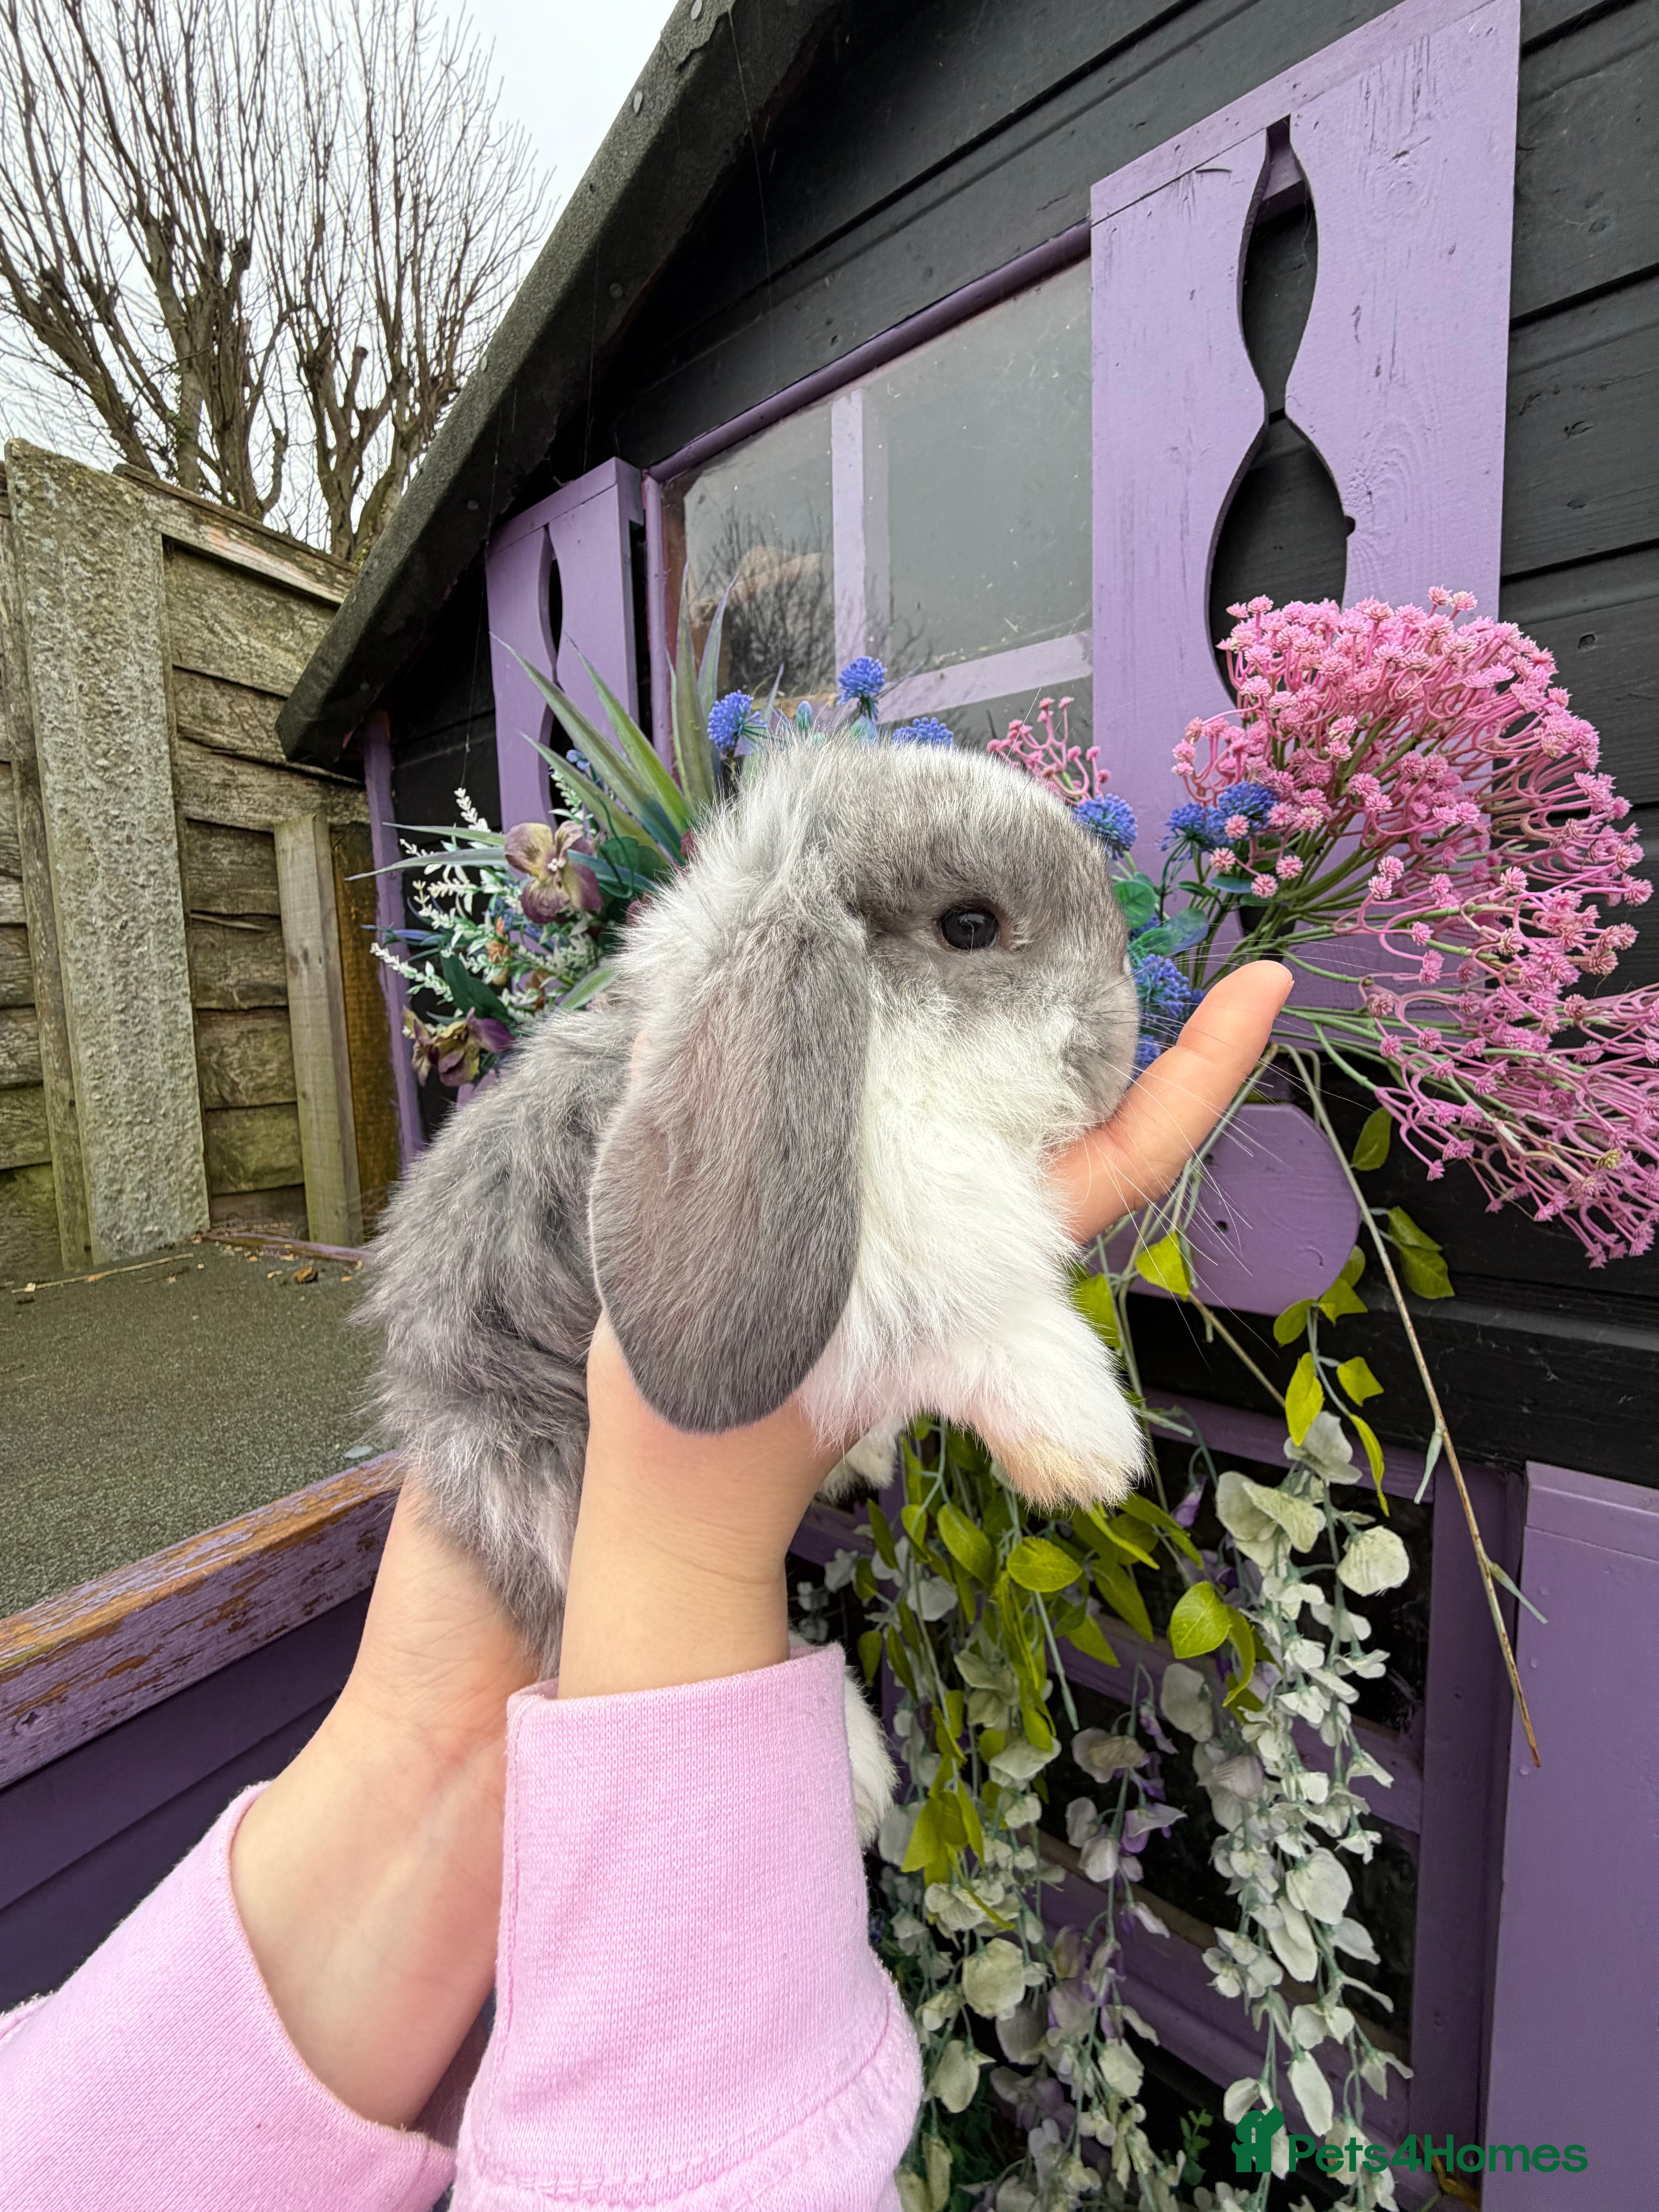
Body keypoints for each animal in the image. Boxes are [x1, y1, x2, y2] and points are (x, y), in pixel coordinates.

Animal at [363, 731, 1146, 1845]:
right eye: (970, 926)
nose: (1113, 1055)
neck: (886, 1060)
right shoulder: (887, 1269)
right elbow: (976, 1326)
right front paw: (1090, 1446)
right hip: (530, 1461)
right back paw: (852, 1773)